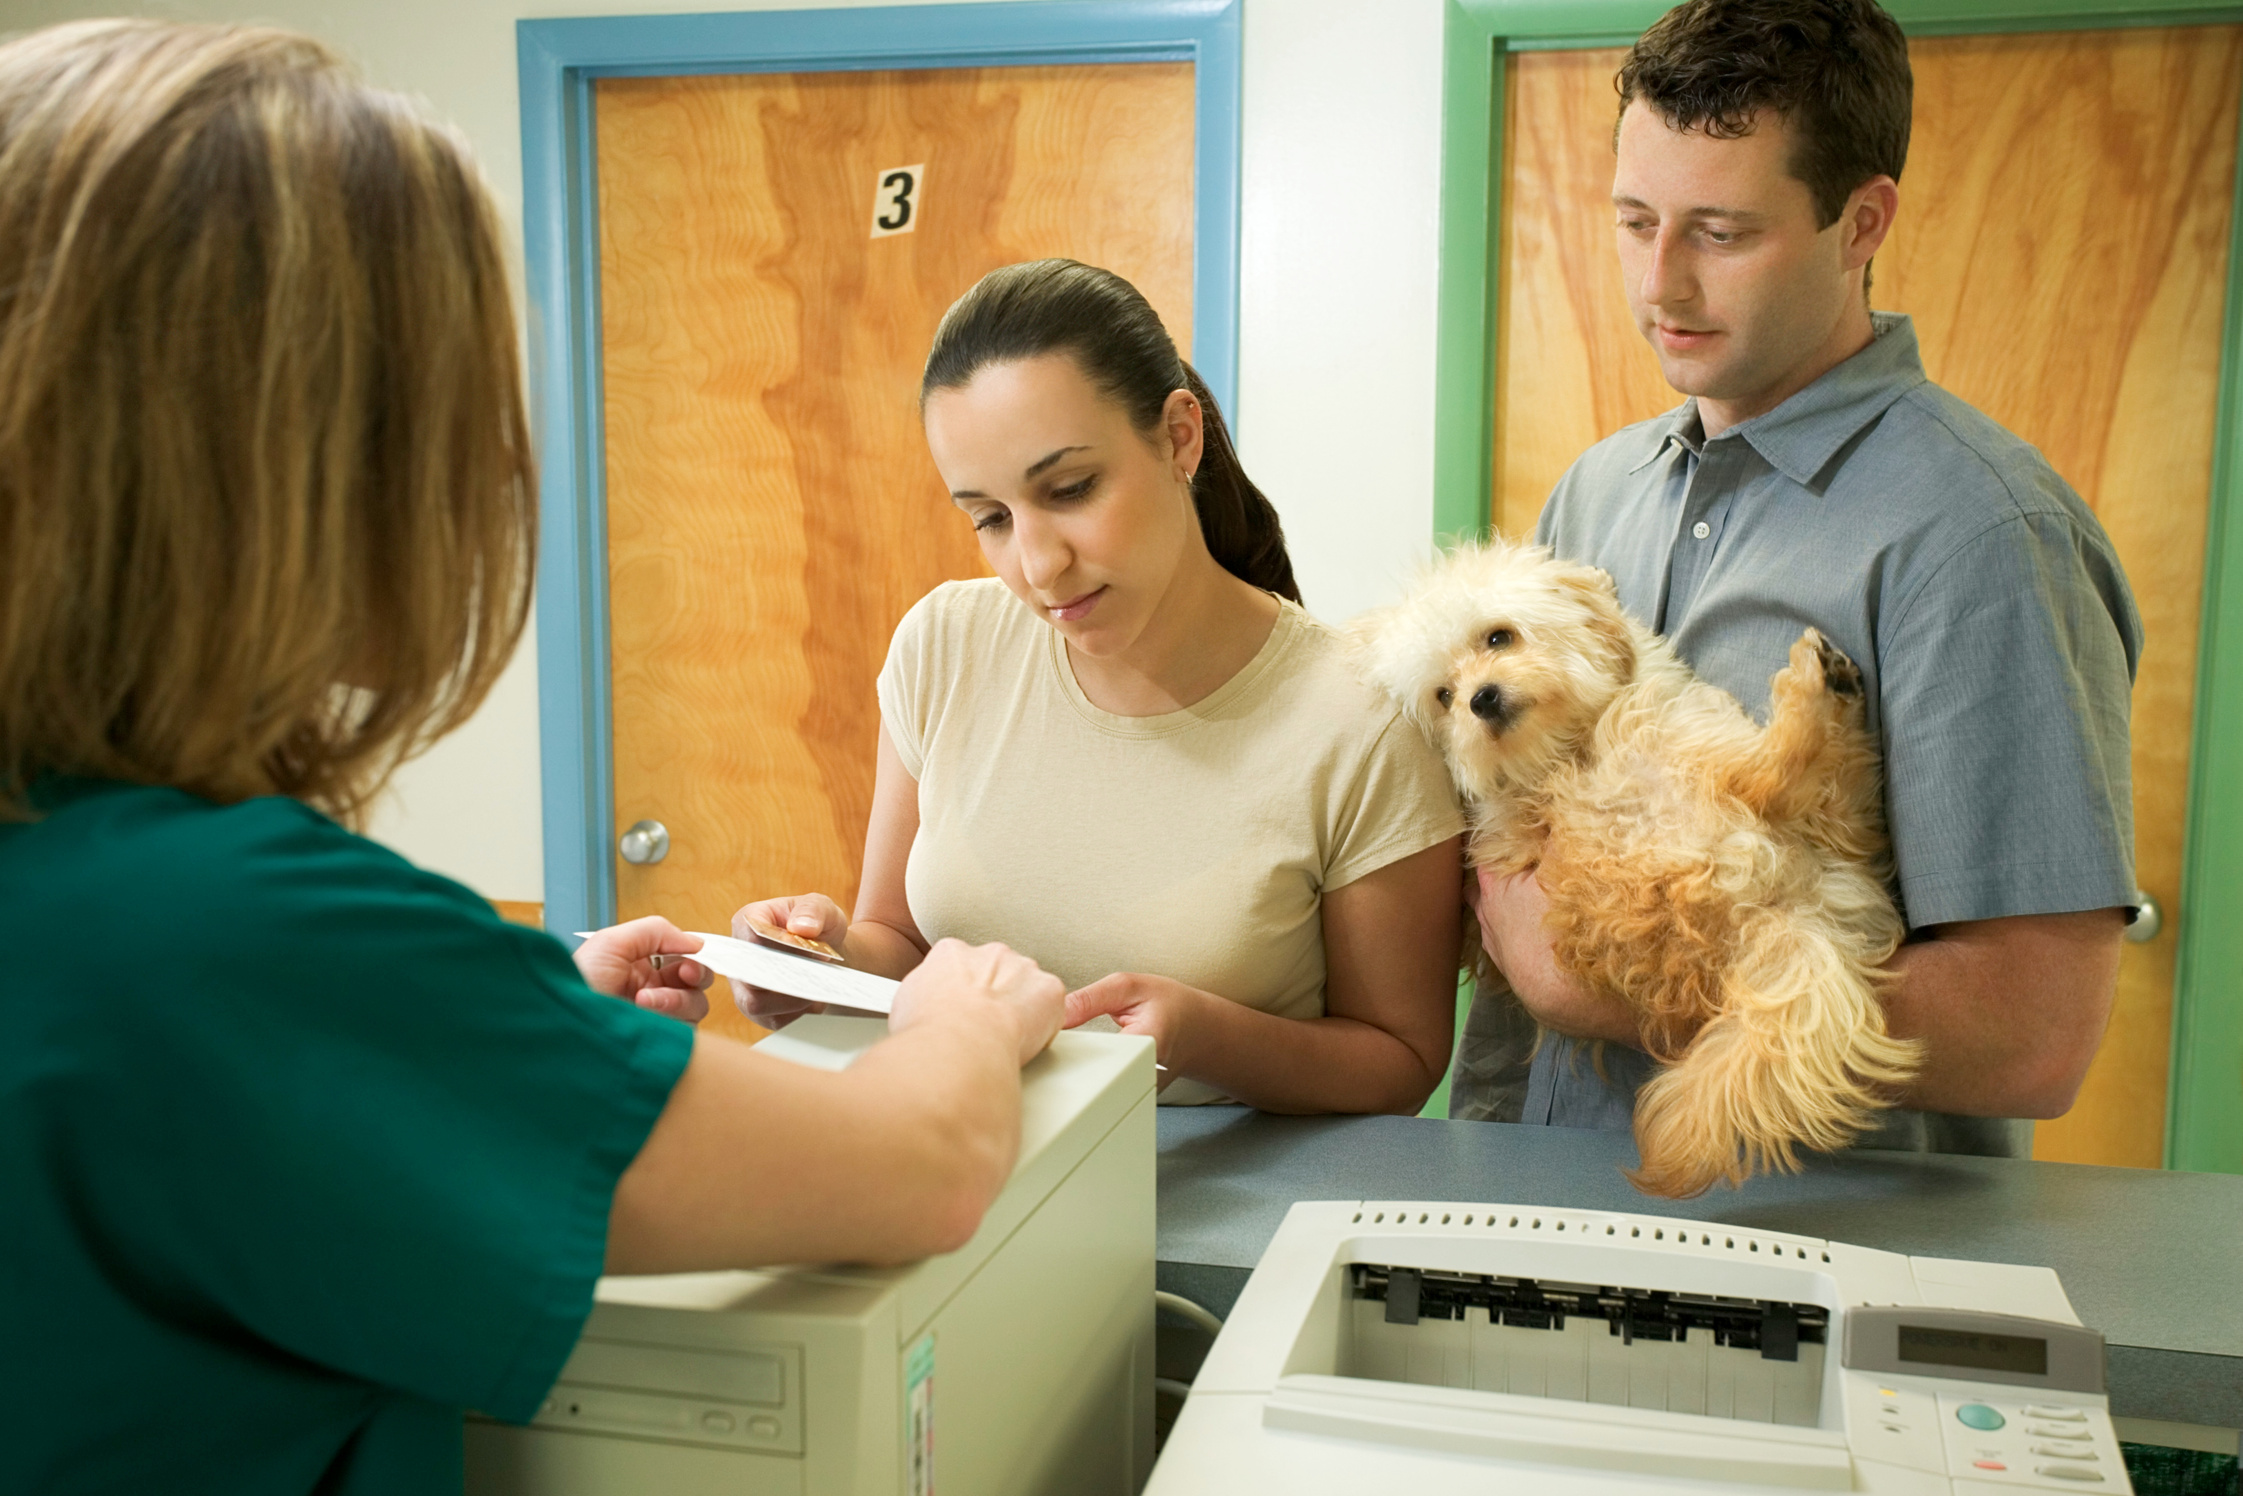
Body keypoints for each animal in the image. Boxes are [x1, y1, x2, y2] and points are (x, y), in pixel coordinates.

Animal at [1336, 545, 1920, 1202]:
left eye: (1498, 637)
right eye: (1443, 695)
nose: (1479, 699)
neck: (1561, 754)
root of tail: (1775, 915)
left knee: (1834, 807)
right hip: (1686, 761)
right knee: (1773, 778)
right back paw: (1816, 690)